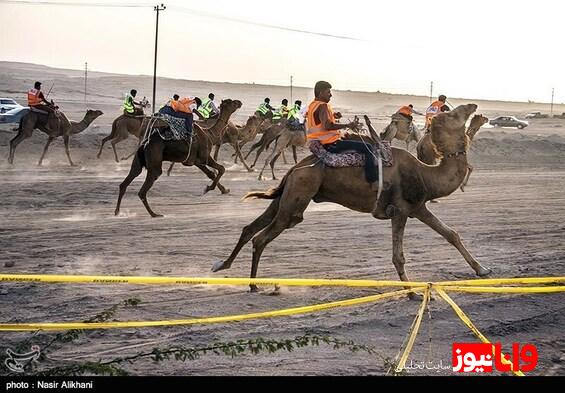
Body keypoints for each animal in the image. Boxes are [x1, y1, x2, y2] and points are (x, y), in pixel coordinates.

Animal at [210, 102, 490, 292]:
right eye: (454, 114)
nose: (473, 105)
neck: (425, 174)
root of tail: (295, 168)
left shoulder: (418, 206)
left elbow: (451, 234)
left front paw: (482, 270)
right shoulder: (400, 210)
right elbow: (398, 255)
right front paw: (410, 290)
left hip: (288, 194)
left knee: (251, 227)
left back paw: (223, 265)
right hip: (299, 195)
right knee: (262, 236)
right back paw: (254, 284)